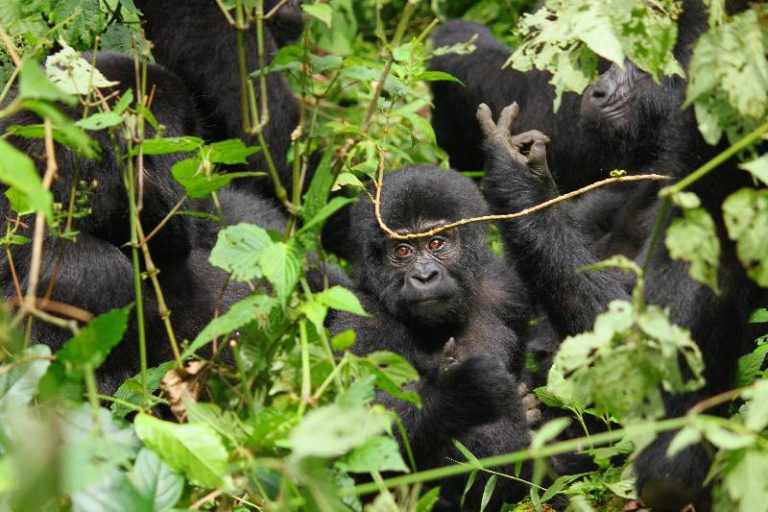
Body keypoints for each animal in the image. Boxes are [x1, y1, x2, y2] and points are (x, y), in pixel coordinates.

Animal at [330, 166, 536, 510]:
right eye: (402, 250)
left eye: (437, 243)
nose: (424, 276)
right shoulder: (359, 321)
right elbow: (346, 425)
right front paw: (460, 389)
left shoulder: (507, 290)